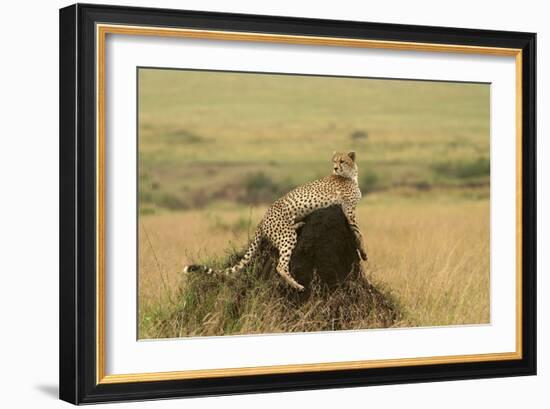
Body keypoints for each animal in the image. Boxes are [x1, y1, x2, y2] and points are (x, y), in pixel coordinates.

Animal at [185, 151, 370, 290]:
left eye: (342, 161)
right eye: (334, 161)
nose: (335, 167)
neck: (350, 175)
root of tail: (262, 220)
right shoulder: (349, 211)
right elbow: (359, 233)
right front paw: (363, 252)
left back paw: (299, 224)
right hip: (286, 237)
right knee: (280, 266)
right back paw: (297, 285)